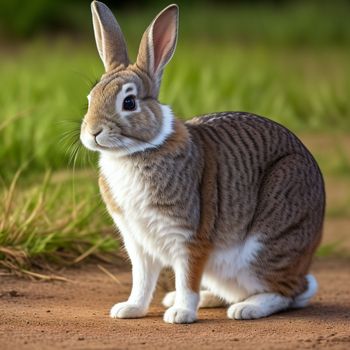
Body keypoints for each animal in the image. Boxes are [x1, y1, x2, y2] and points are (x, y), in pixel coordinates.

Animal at [80, 0, 326, 326]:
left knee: (287, 292)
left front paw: (181, 314)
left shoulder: (190, 238)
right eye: (90, 97)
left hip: (267, 245)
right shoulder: (138, 242)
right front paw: (130, 309)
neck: (138, 150)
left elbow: (187, 278)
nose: (93, 132)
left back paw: (246, 309)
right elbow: (142, 280)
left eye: (129, 103)